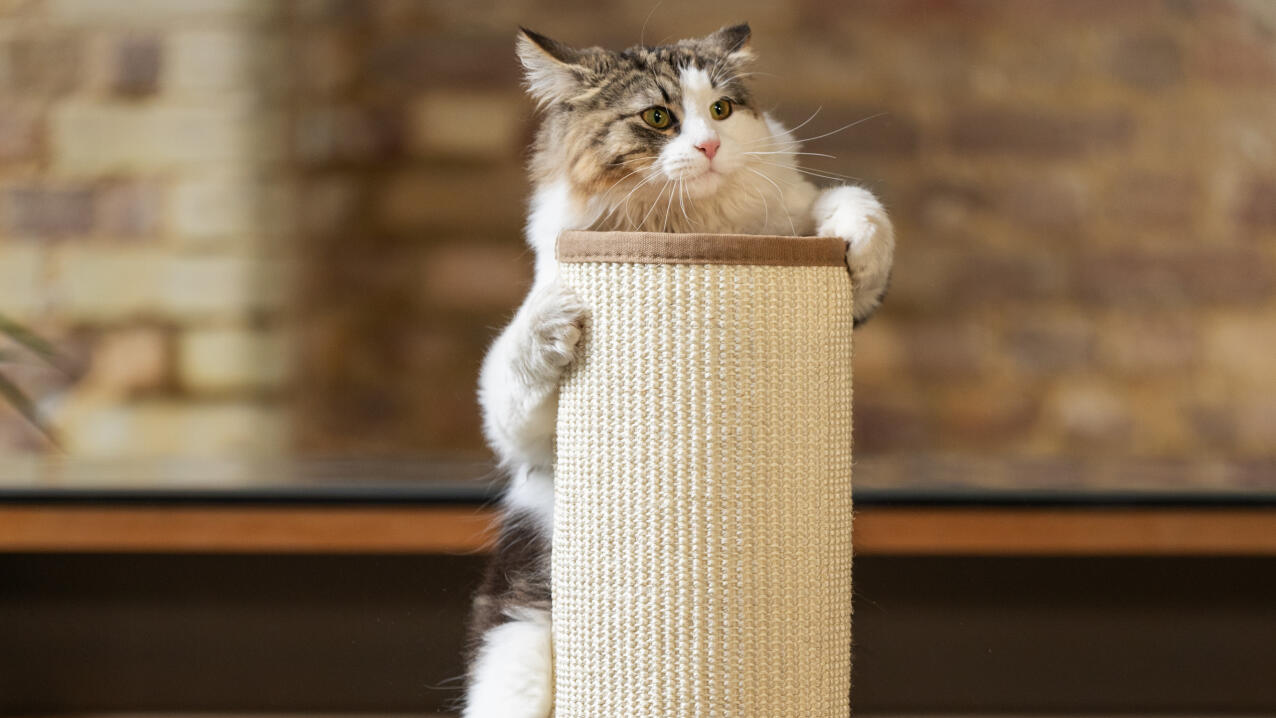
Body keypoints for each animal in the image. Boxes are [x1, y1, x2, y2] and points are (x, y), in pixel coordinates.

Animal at [464, 22, 893, 718]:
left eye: (720, 109)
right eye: (658, 117)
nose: (710, 145)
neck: (682, 232)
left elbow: (852, 204)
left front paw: (859, 237)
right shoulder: (525, 441)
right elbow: (517, 359)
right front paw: (555, 316)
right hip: (518, 645)